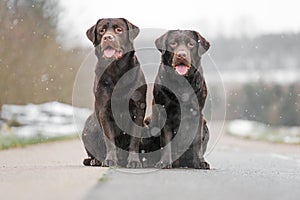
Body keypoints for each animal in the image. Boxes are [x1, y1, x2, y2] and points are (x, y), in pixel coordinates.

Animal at [82, 18, 148, 169]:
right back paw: (96, 161)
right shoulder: (104, 110)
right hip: (88, 129)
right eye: (101, 30)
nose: (108, 37)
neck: (117, 71)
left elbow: (134, 140)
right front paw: (110, 160)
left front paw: (134, 162)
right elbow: (109, 140)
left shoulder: (138, 109)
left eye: (119, 30)